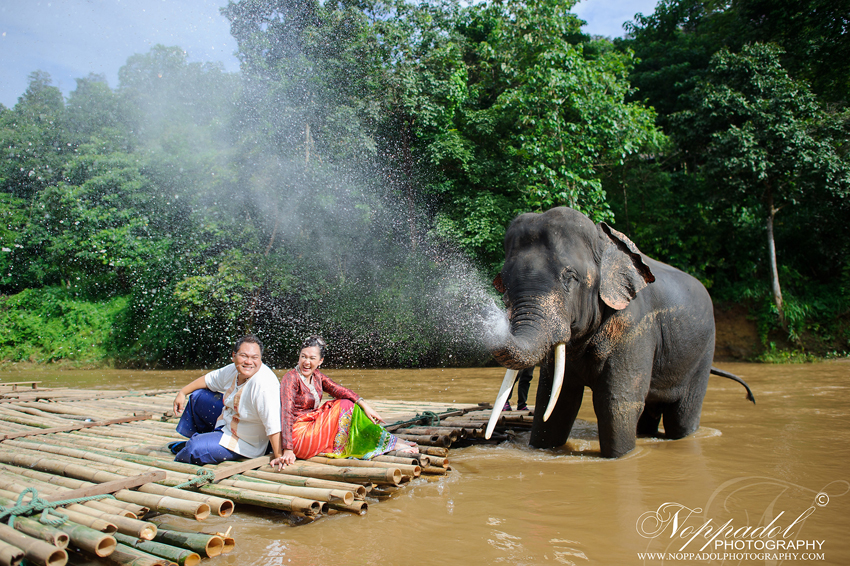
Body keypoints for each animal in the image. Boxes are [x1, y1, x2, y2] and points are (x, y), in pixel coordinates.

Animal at [480, 206, 752, 460]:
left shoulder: (635, 323)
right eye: (503, 283)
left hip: (703, 353)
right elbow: (556, 400)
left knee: (682, 416)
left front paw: (619, 457)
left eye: (571, 278)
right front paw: (542, 446)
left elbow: (616, 402)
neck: (604, 242)